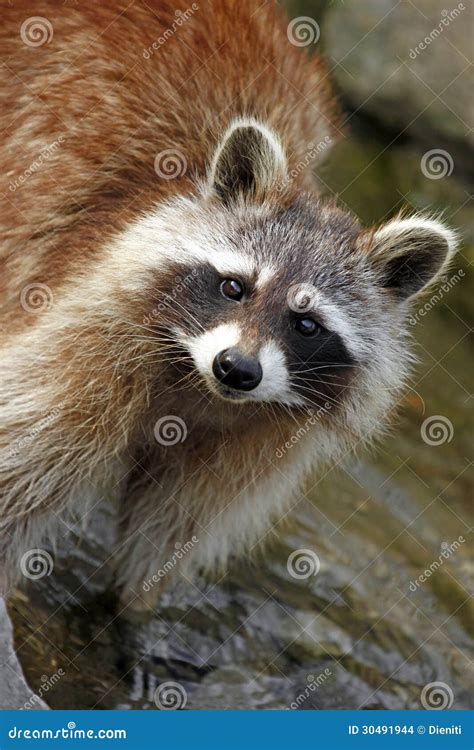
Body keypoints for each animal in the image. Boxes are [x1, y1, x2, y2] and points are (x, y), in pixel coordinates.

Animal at [0, 0, 458, 608]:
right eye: (235, 287)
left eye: (307, 324)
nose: (236, 368)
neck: (196, 383)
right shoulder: (94, 326)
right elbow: (24, 462)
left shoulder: (264, 436)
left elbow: (167, 530)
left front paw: (128, 612)